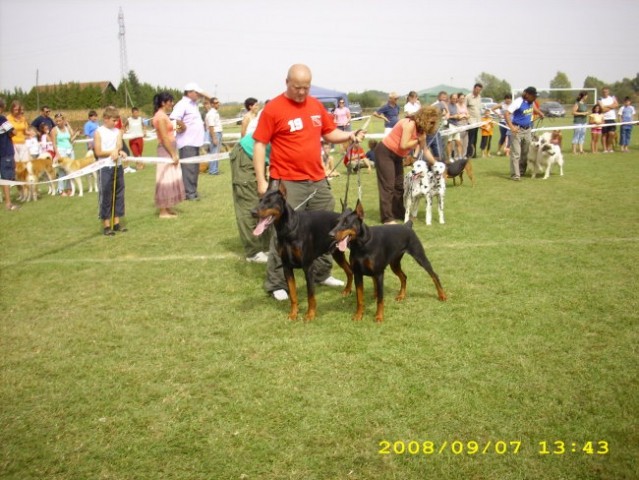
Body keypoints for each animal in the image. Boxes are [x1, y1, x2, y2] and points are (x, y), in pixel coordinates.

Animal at [252, 184, 356, 322]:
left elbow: (310, 295)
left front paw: (310, 315)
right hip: (337, 253)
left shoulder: (308, 266)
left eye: (269, 201)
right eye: (260, 200)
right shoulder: (286, 266)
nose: (253, 212)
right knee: (349, 270)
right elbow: (293, 294)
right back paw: (347, 290)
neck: (289, 229)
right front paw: (293, 314)